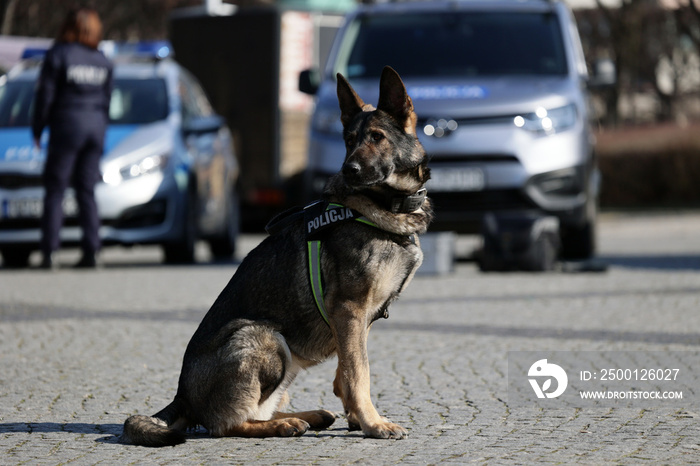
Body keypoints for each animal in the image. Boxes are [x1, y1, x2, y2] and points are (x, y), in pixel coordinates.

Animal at [123, 67, 432, 446]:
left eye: (377, 137)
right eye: (349, 140)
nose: (349, 170)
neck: (383, 206)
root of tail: (182, 395)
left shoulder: (357, 321)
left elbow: (346, 371)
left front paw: (356, 417)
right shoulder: (350, 311)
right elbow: (360, 373)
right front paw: (373, 423)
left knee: (260, 409)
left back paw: (306, 417)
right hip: (264, 337)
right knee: (227, 424)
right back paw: (283, 425)